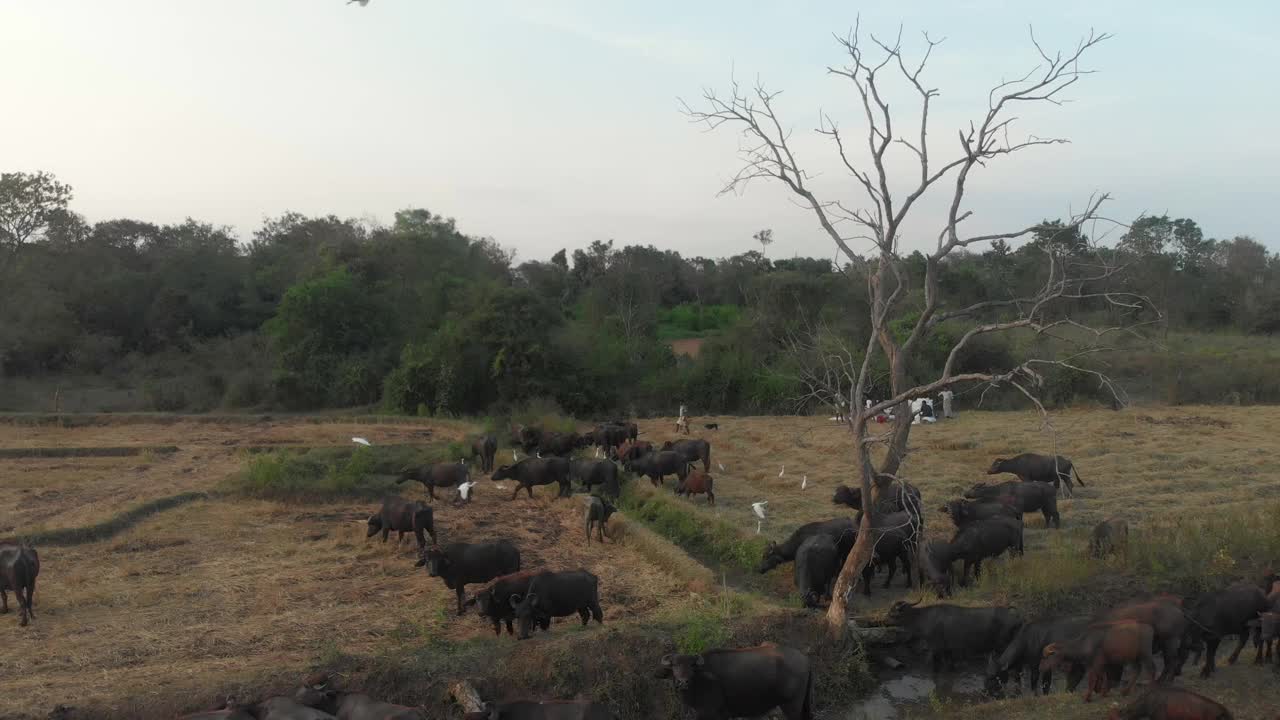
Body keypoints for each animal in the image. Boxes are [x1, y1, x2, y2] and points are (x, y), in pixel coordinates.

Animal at [655, 640, 814, 717]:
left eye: (692, 666)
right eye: (674, 665)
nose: (683, 682)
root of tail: (805, 658)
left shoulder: (708, 713)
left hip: (792, 706)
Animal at [885, 594, 1024, 671]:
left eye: (892, 614)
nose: (883, 621)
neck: (925, 617)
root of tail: (1017, 617)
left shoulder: (936, 648)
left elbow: (935, 666)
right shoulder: (948, 649)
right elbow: (950, 665)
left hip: (1004, 646)